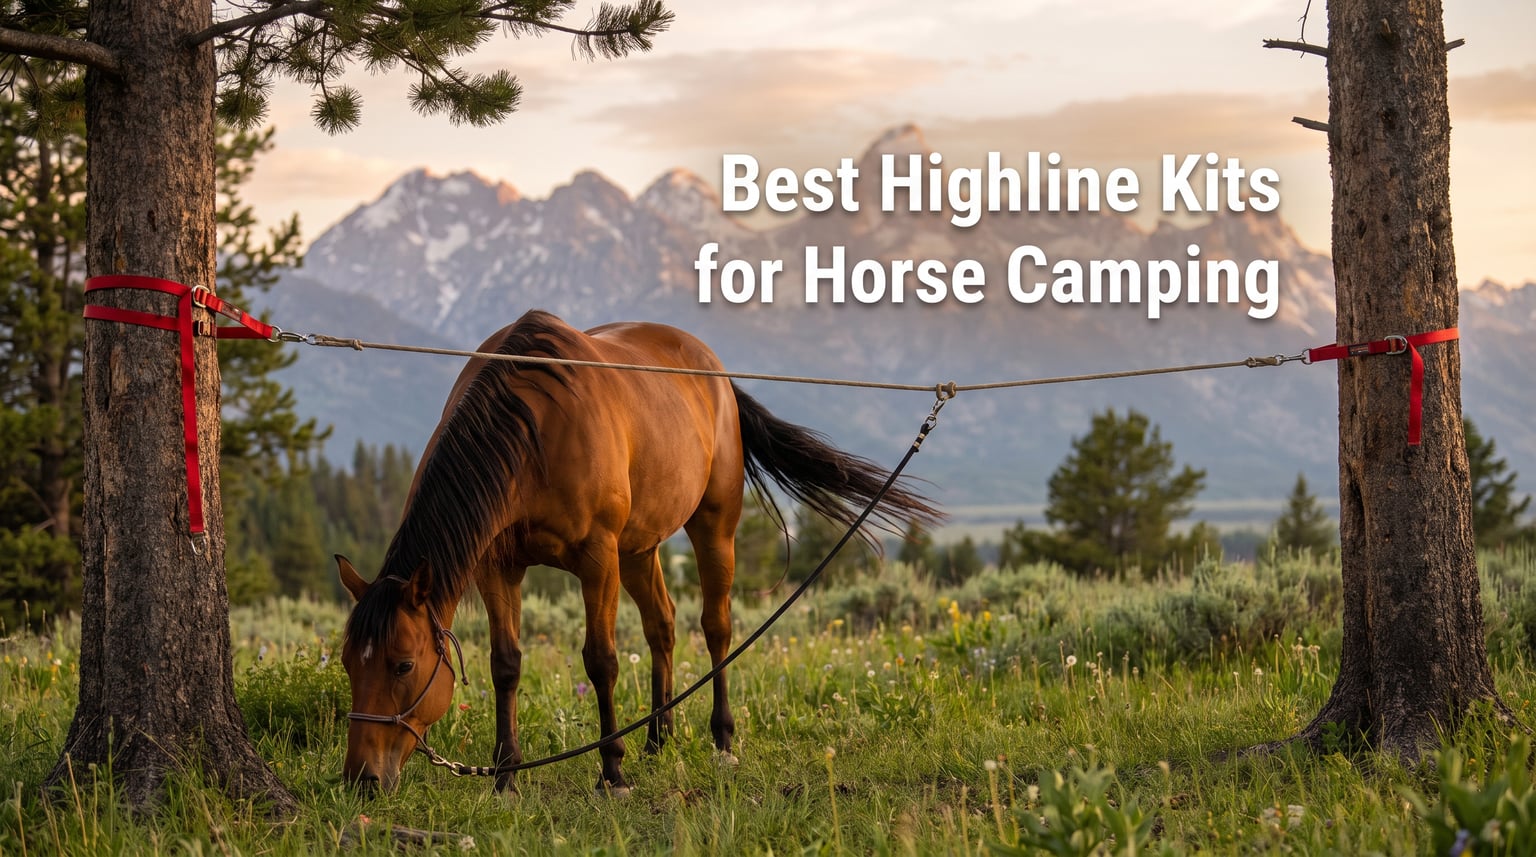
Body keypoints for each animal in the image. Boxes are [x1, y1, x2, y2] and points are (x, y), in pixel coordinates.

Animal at [337, 309, 938, 794]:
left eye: (403, 664)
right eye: (346, 663)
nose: (361, 780)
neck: (534, 431)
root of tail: (717, 374)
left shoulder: (596, 558)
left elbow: (600, 660)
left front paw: (612, 772)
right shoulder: (499, 566)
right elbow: (505, 664)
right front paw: (506, 776)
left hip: (711, 527)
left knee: (715, 627)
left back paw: (721, 741)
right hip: (639, 549)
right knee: (662, 626)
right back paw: (657, 737)